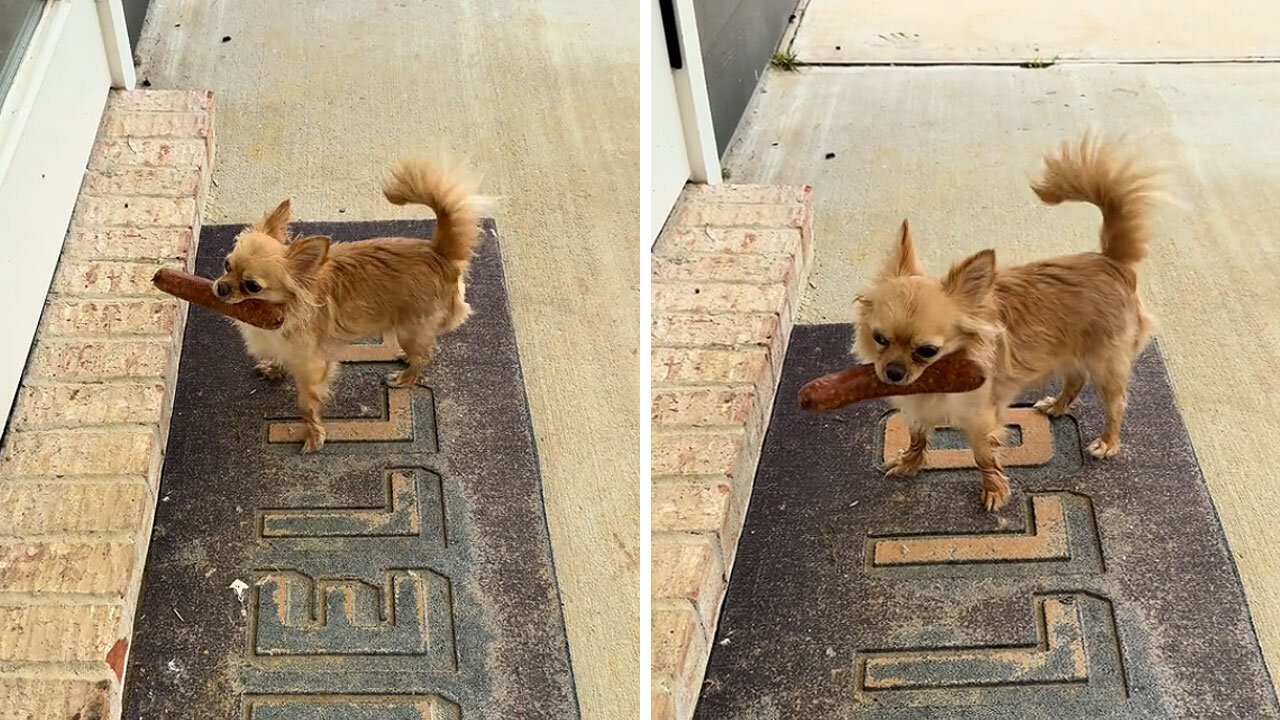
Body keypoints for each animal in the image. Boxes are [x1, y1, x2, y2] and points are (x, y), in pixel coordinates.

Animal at [215, 162, 481, 450]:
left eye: (252, 286)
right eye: (227, 265)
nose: (220, 288)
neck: (273, 311)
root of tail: (439, 252)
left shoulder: (312, 367)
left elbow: (307, 405)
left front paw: (314, 435)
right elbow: (278, 358)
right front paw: (274, 369)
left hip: (409, 329)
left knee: (424, 357)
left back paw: (404, 379)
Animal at [860, 133, 1162, 504]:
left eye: (927, 351)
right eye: (880, 339)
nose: (893, 372)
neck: (936, 377)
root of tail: (1112, 262)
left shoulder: (980, 417)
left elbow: (983, 455)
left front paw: (993, 490)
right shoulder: (917, 409)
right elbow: (918, 437)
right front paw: (909, 463)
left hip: (1106, 364)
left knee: (1115, 404)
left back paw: (1108, 442)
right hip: (1071, 352)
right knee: (1075, 380)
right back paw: (1057, 406)